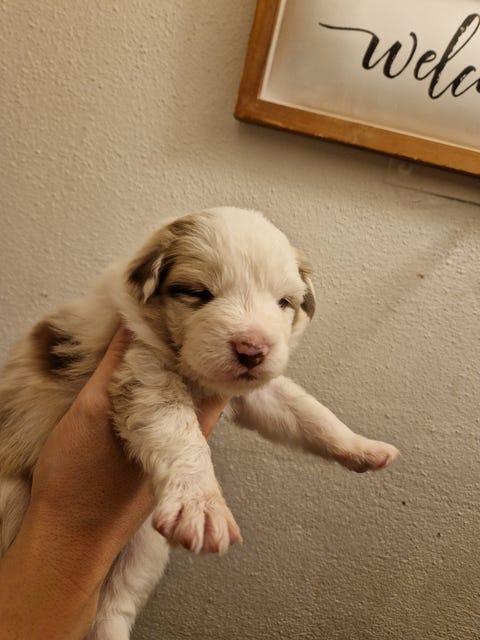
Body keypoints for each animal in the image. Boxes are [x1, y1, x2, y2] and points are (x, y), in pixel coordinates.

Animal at [0, 207, 398, 639]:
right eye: (198, 293)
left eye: (283, 302)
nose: (252, 350)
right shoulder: (143, 372)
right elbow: (181, 435)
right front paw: (203, 506)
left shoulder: (253, 394)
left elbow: (305, 411)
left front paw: (363, 447)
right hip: (16, 501)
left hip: (142, 552)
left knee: (112, 608)